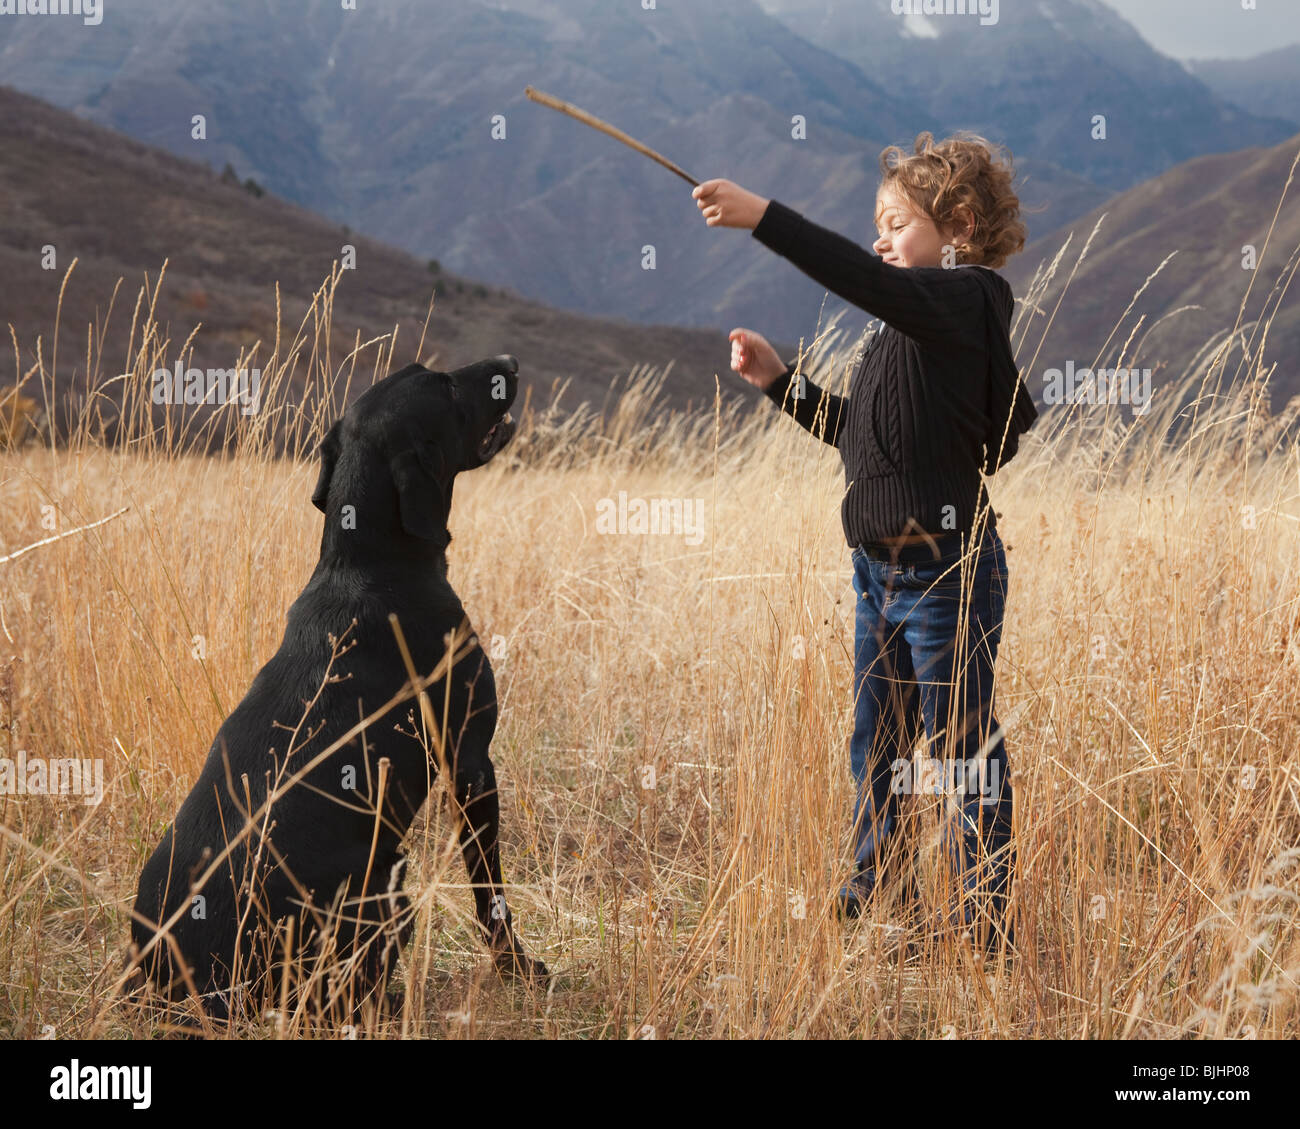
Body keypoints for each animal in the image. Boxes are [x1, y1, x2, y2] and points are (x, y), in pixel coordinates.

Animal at [128, 353, 543, 1024]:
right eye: (445, 385)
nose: (508, 361)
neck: (368, 562)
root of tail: (179, 989)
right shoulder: (470, 760)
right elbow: (491, 894)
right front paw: (519, 969)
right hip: (387, 885)